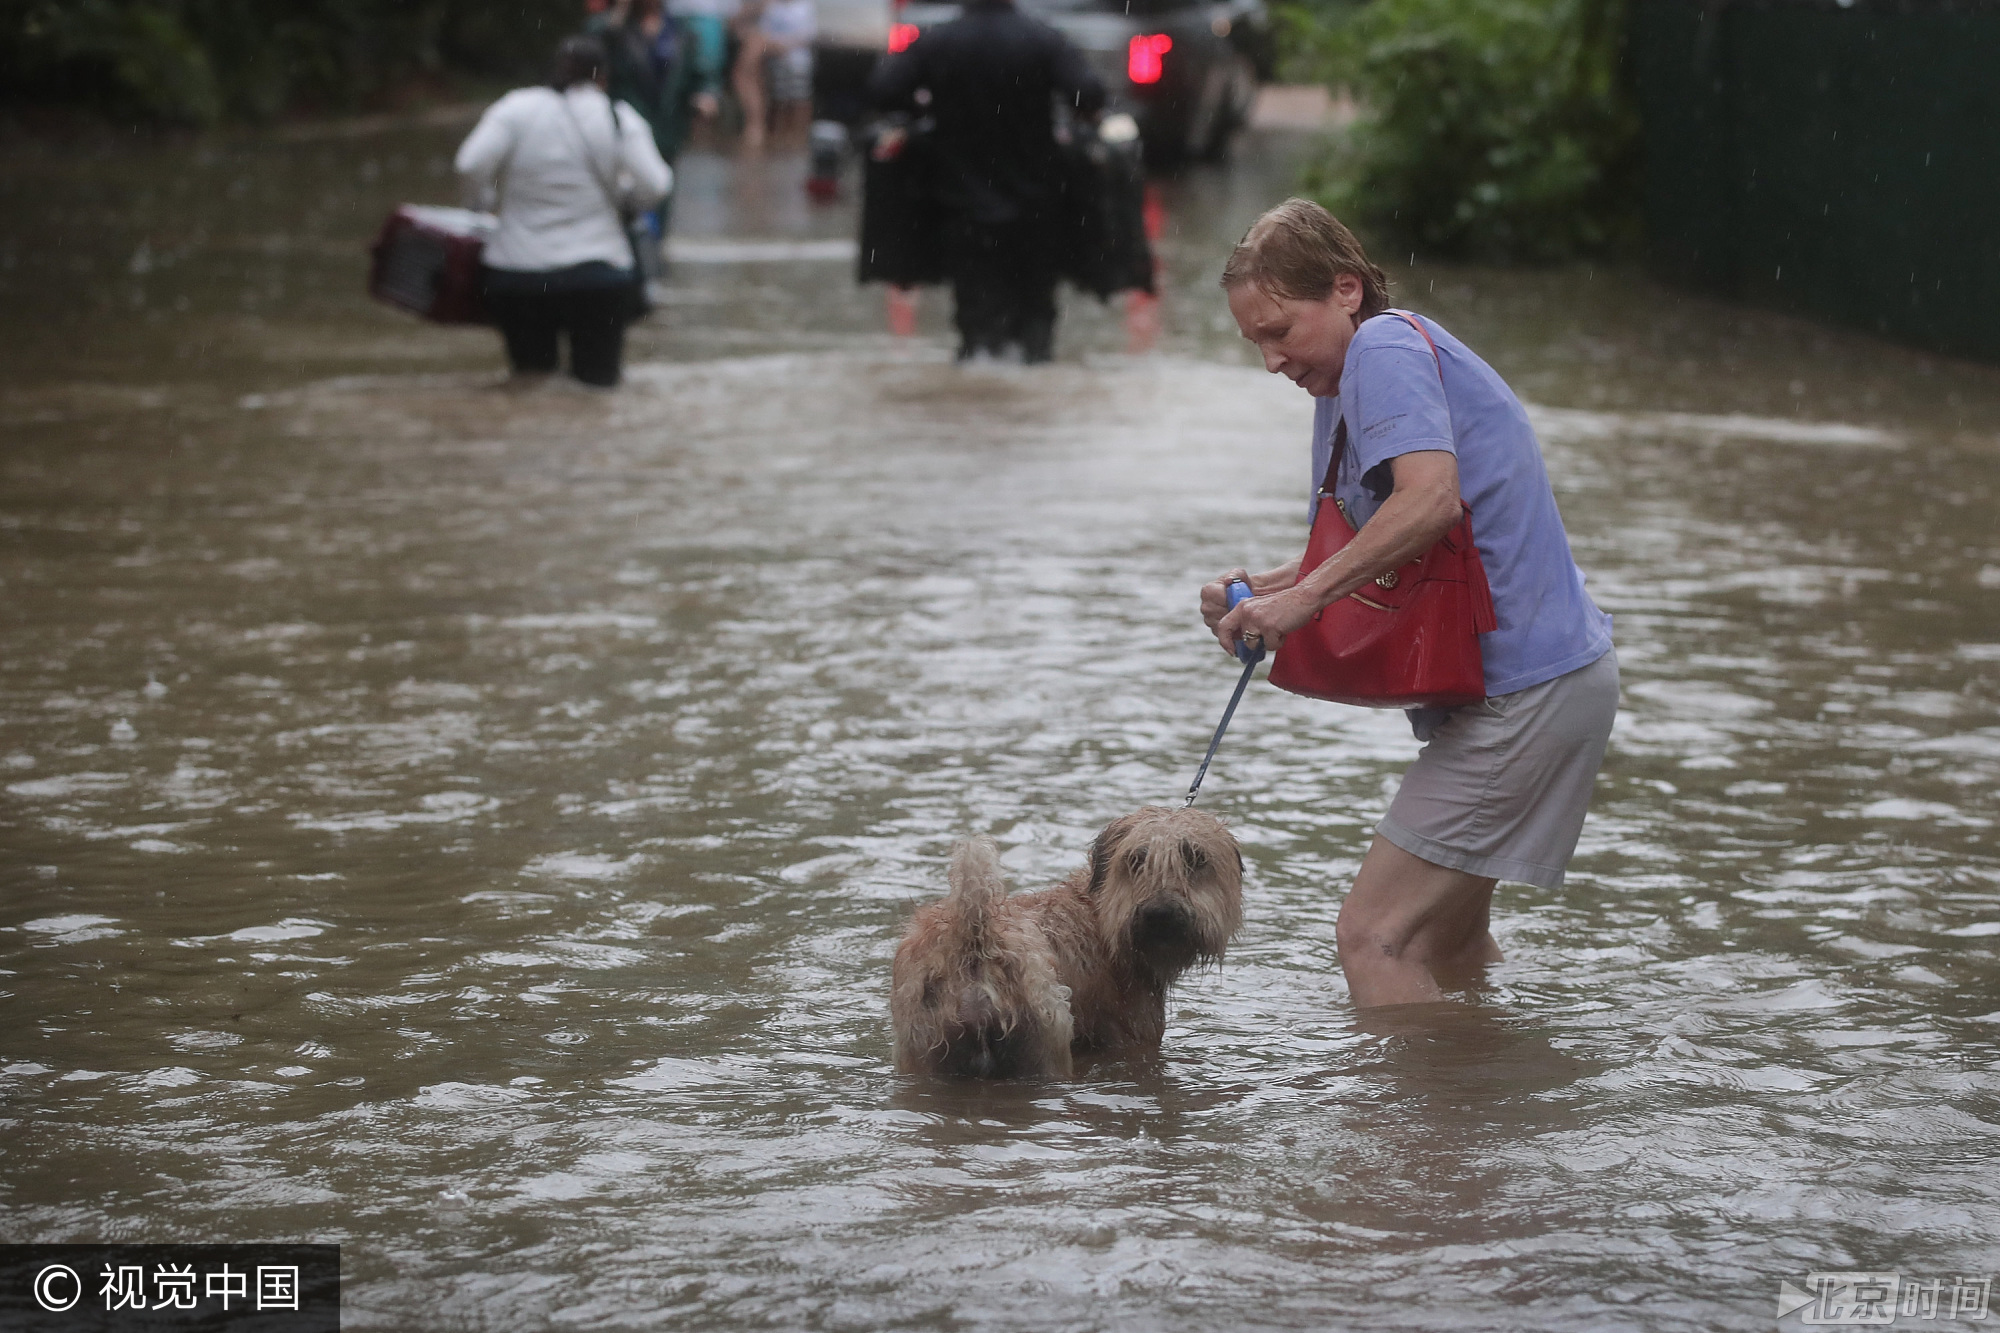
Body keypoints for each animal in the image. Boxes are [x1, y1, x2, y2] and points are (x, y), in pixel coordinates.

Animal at [888, 804, 1232, 1072]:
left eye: (1195, 858)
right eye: (1136, 859)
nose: (1160, 913)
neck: (1099, 916)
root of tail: (975, 941)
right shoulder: (1136, 1036)